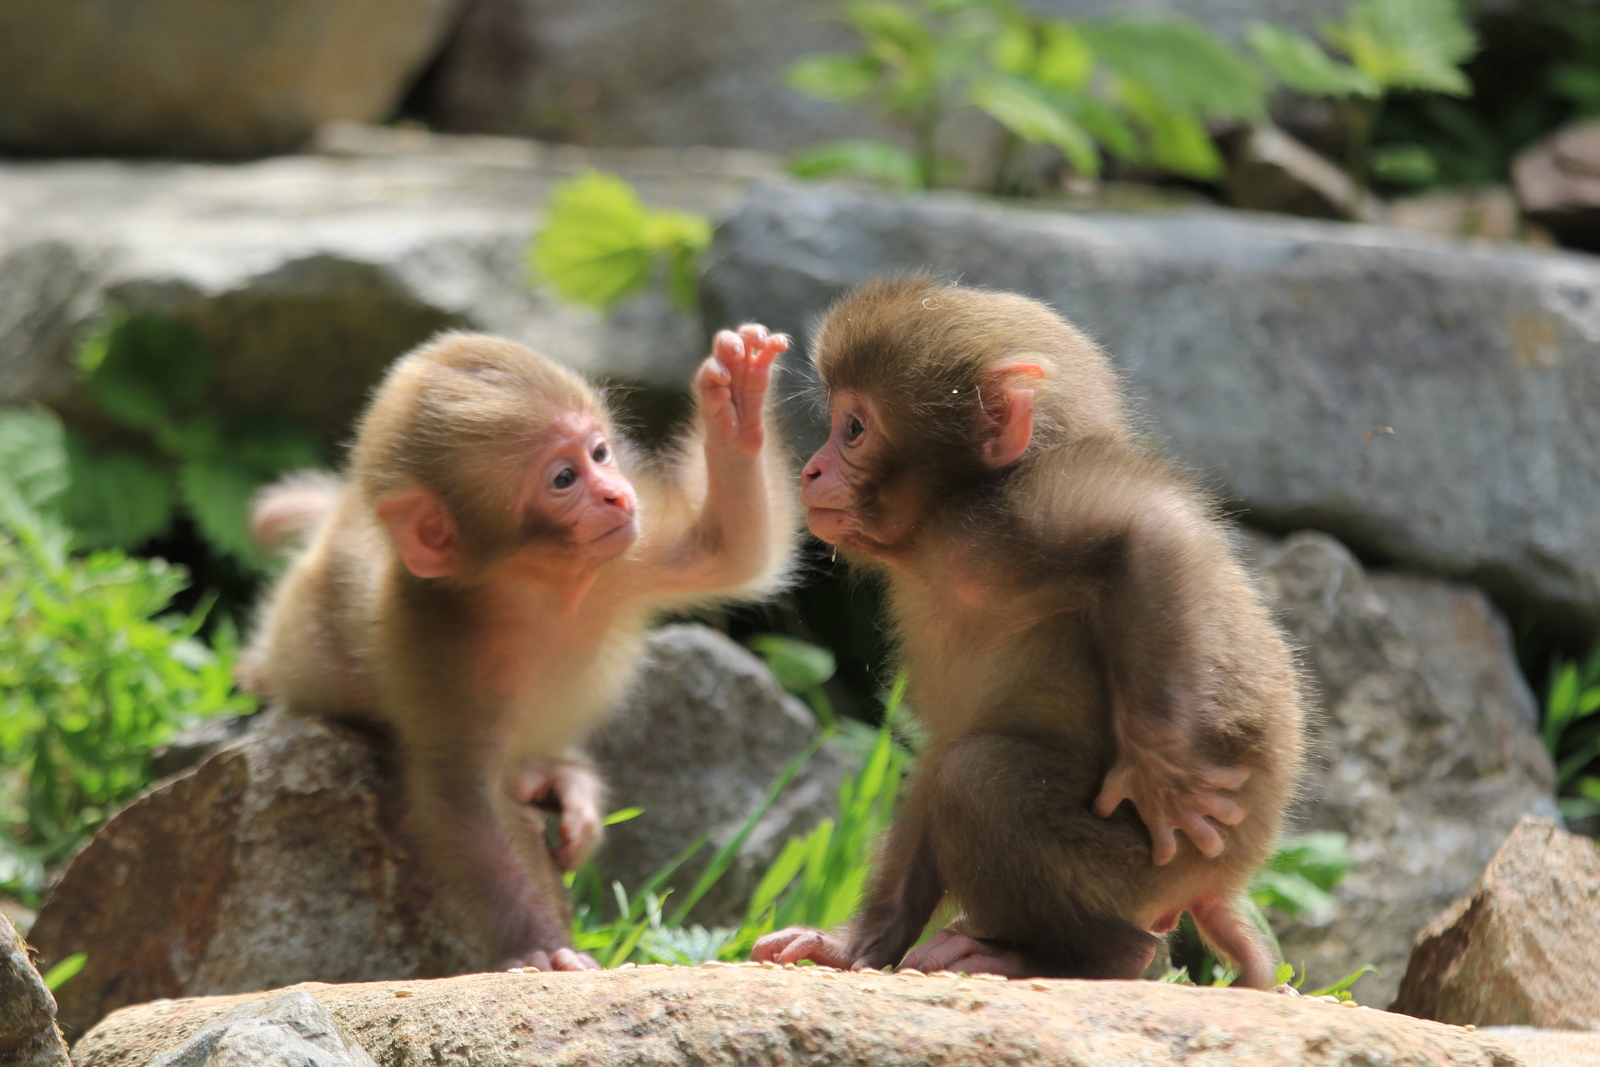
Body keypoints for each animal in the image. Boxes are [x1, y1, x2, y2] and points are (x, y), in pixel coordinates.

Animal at [755, 279, 1305, 991]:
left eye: (852, 428)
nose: (811, 472)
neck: (930, 538)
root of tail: (1222, 881)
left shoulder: (1006, 525)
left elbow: (1154, 529)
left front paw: (1162, 771)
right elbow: (934, 754)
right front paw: (856, 944)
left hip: (1143, 867)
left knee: (975, 776)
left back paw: (1078, 957)